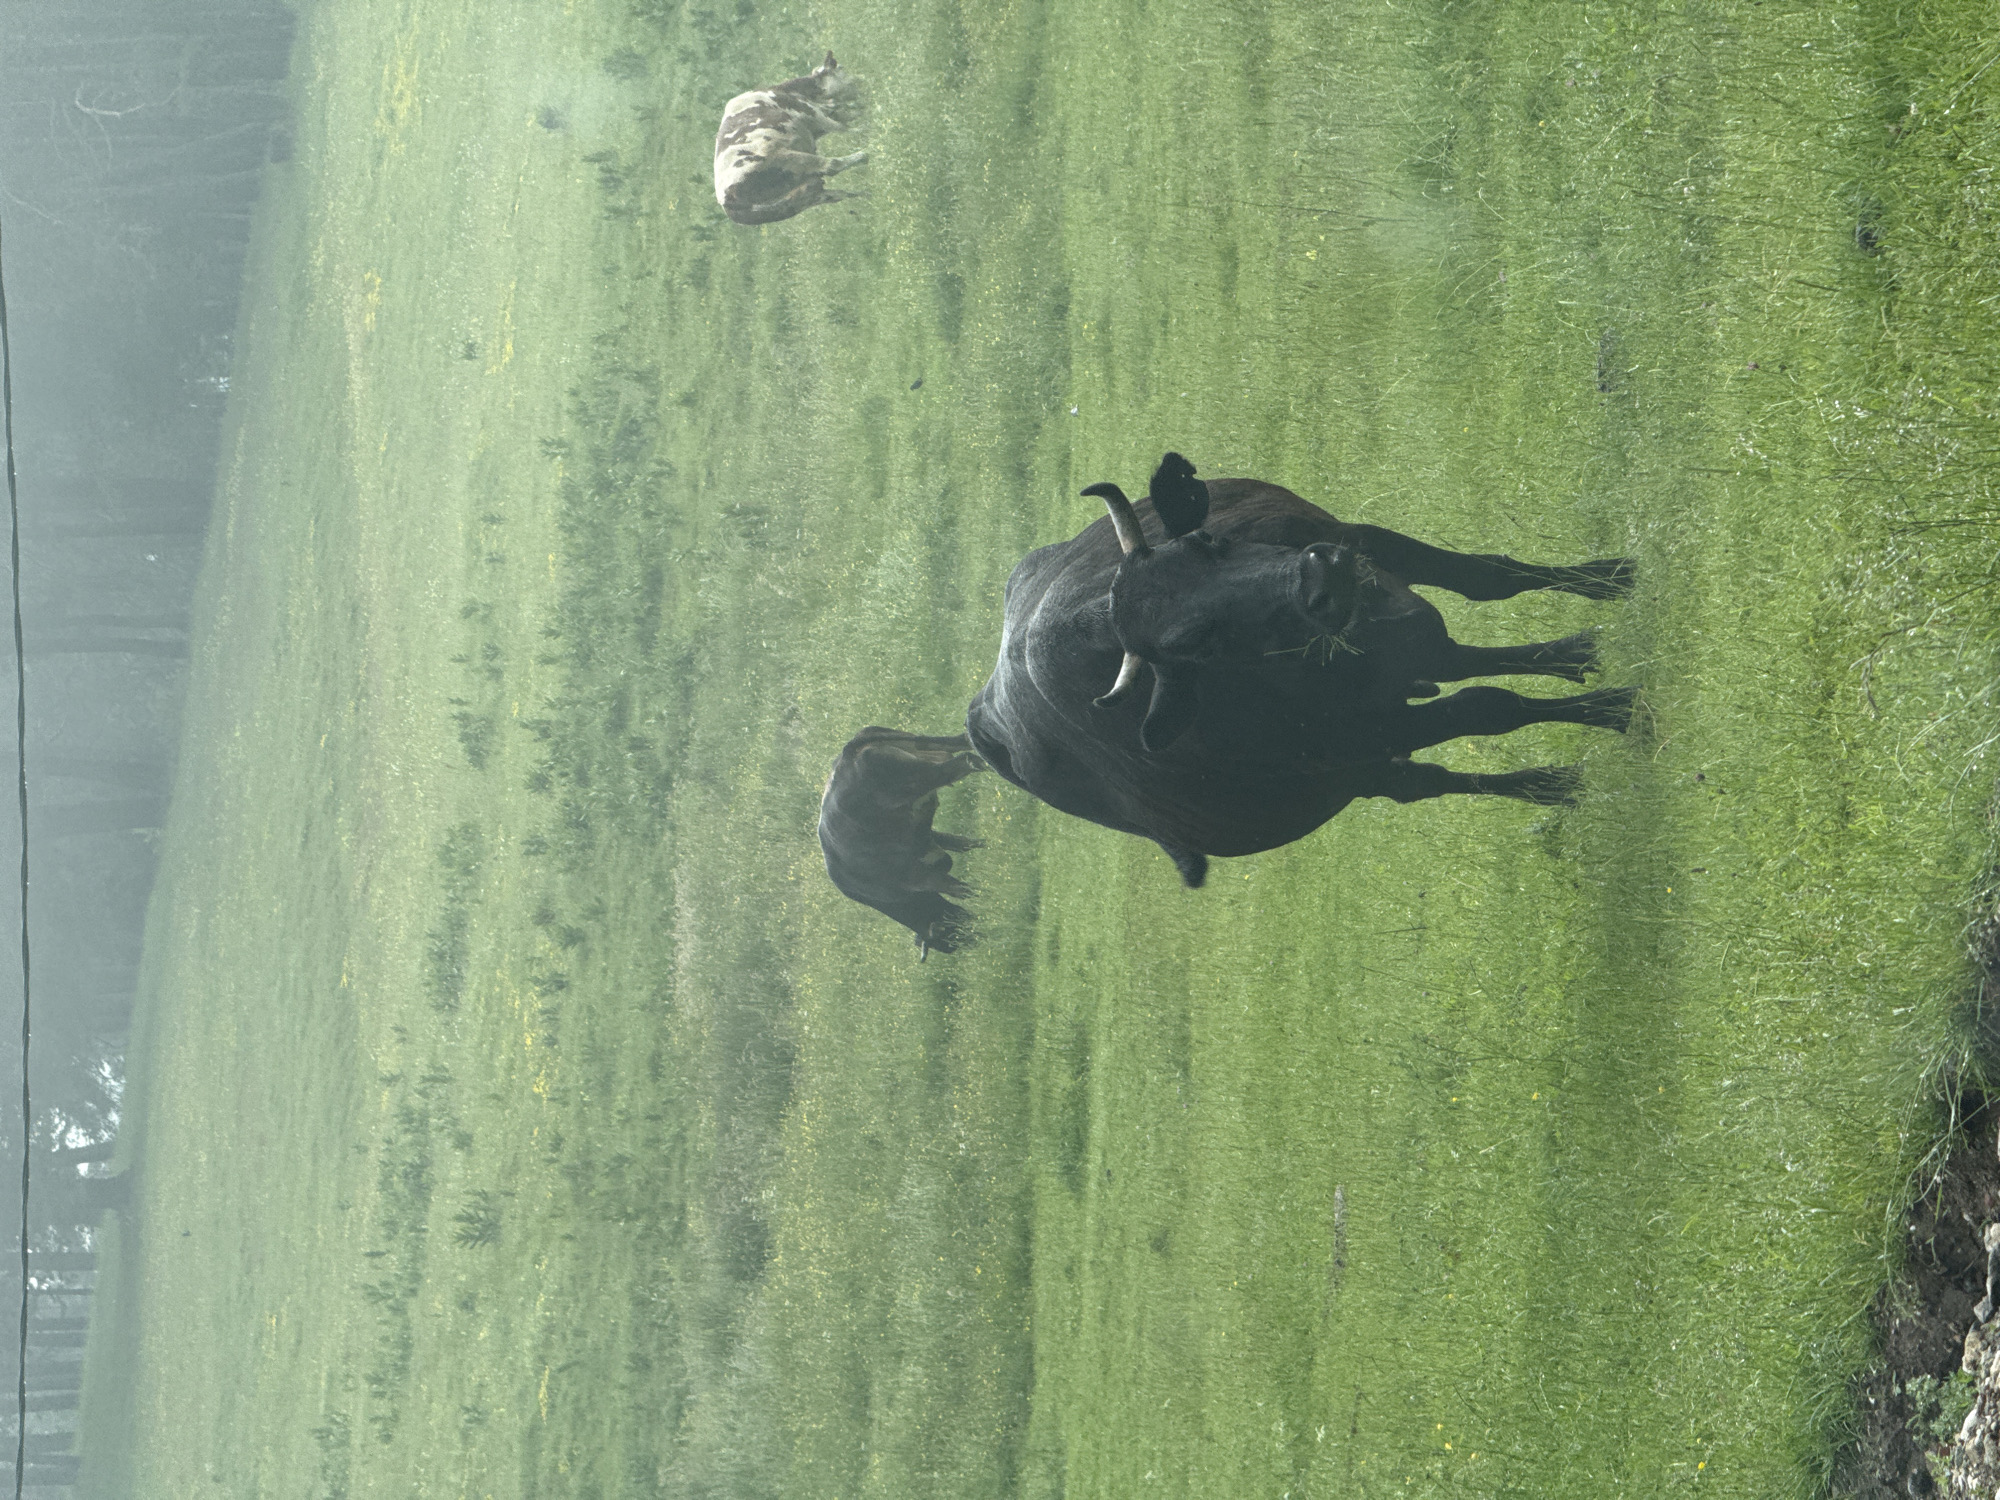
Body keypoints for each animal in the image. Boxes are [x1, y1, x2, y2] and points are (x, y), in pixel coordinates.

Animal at [714, 52, 866, 225]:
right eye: (841, 68)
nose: (863, 80)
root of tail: (727, 200)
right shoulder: (813, 113)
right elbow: (843, 126)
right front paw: (864, 128)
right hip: (790, 158)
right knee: (832, 165)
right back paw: (863, 156)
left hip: (801, 199)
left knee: (837, 194)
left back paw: (867, 194)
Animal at [818, 727, 987, 957]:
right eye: (953, 939)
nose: (981, 938)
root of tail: (848, 753)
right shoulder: (927, 841)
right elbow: (961, 843)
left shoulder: (924, 878)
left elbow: (961, 889)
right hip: (924, 747)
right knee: (960, 741)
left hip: (926, 776)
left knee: (967, 761)